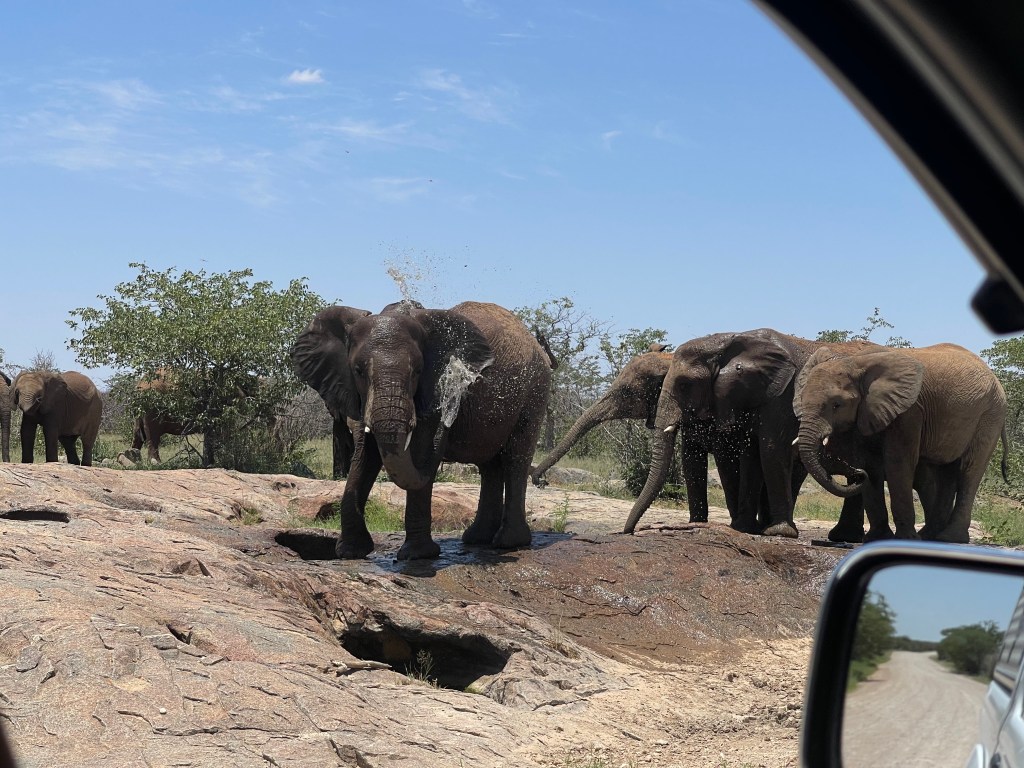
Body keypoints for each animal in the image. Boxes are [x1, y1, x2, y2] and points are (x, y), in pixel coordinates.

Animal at [291, 300, 552, 560]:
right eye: (358, 370)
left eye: (417, 370)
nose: (450, 417)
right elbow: (365, 457)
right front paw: (349, 552)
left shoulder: (433, 392)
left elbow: (420, 451)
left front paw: (416, 555)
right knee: (490, 465)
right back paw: (477, 538)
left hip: (535, 391)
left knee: (515, 458)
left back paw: (508, 542)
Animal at [623, 330, 876, 537]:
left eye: (685, 384)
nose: (630, 531)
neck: (731, 341)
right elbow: (751, 453)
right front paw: (744, 529)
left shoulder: (782, 395)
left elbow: (771, 448)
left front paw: (778, 533)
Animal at [794, 343, 1008, 543]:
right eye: (801, 400)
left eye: (837, 405)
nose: (856, 474)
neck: (855, 362)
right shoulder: (869, 410)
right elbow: (870, 464)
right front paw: (877, 538)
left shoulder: (909, 412)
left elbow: (898, 463)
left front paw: (905, 539)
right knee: (946, 471)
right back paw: (930, 536)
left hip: (990, 415)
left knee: (969, 471)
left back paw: (949, 538)